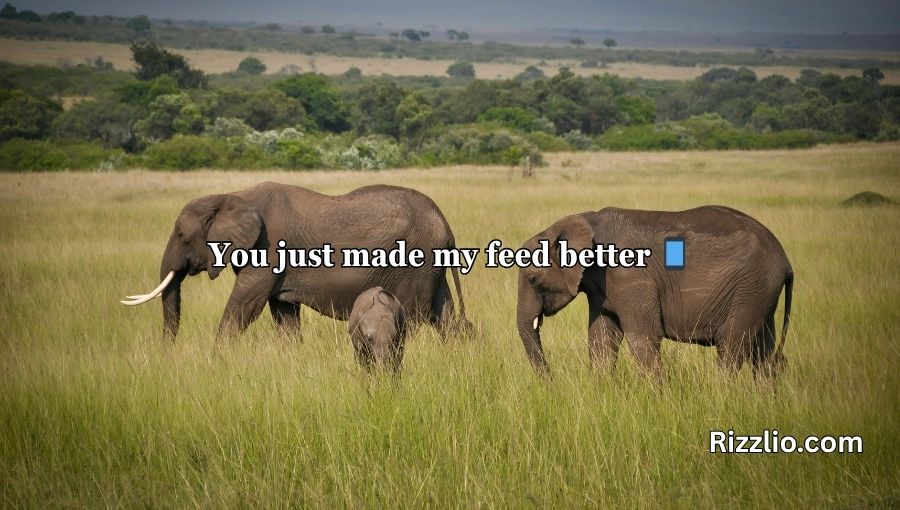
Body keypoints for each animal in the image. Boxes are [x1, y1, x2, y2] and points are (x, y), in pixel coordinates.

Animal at [122, 182, 470, 341]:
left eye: (182, 235)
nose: (168, 352)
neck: (231, 196)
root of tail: (446, 224)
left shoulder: (268, 249)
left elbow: (244, 307)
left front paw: (215, 361)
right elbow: (284, 315)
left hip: (416, 263)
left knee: (416, 316)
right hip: (431, 266)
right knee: (446, 317)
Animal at [516, 206, 793, 379]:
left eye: (532, 278)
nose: (552, 381)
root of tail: (785, 260)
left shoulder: (631, 276)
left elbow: (643, 337)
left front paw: (657, 401)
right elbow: (601, 339)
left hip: (750, 288)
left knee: (732, 347)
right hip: (760, 292)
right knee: (763, 352)